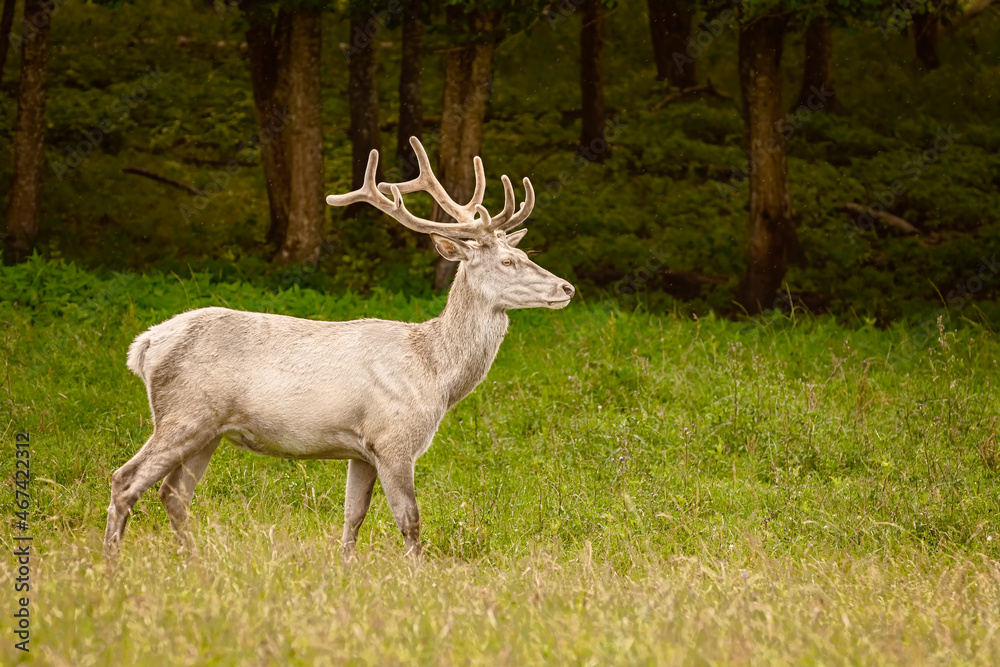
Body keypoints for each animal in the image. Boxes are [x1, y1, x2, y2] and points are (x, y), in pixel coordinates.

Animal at [103, 137, 575, 560]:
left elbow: (354, 516)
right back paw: (112, 563)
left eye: (525, 253)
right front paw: (417, 575)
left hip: (208, 429)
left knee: (174, 494)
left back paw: (195, 561)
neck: (436, 373)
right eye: (507, 262)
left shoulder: (362, 449)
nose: (566, 287)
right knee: (125, 480)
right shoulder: (393, 438)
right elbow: (410, 519)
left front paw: (345, 568)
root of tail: (145, 345)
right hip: (182, 414)